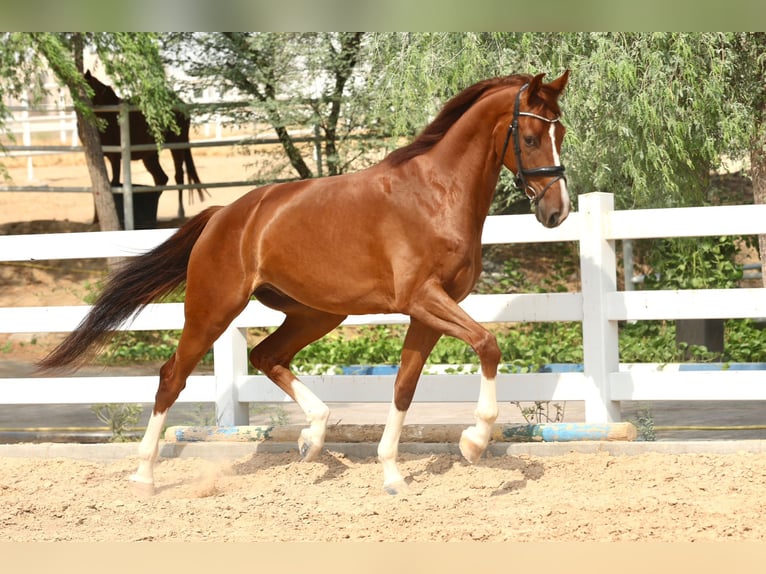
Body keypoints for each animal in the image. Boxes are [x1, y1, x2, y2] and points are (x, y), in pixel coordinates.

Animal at [84, 70, 207, 219]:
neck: (110, 115)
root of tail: (181, 104)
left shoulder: (115, 158)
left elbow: (114, 183)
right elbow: (99, 187)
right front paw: (96, 219)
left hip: (177, 146)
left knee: (178, 177)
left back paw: (180, 212)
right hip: (149, 156)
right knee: (161, 178)